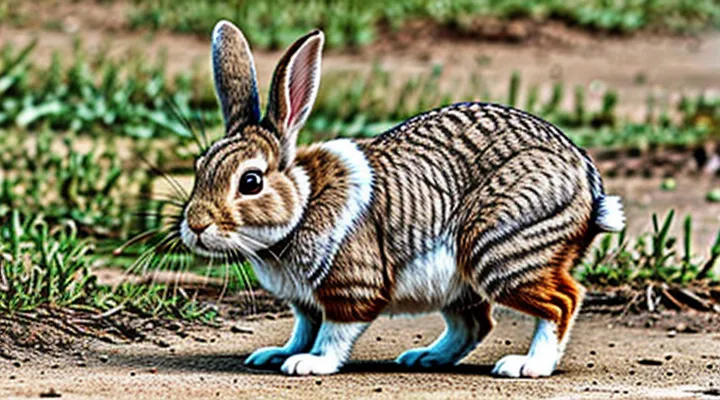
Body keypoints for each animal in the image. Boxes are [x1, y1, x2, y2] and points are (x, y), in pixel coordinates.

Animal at [180, 20, 625, 378]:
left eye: (251, 181)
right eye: (201, 165)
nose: (196, 225)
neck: (304, 203)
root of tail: (588, 186)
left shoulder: (352, 288)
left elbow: (333, 334)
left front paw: (308, 363)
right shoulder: (305, 304)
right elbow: (303, 328)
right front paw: (277, 354)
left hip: (504, 250)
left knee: (562, 302)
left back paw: (527, 366)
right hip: (461, 282)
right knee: (475, 323)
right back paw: (425, 357)